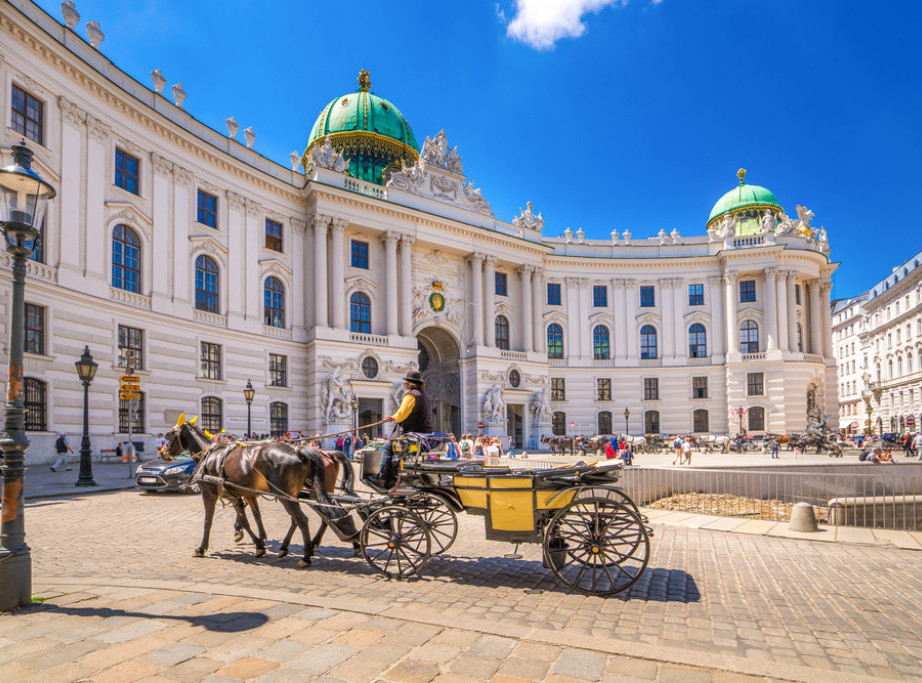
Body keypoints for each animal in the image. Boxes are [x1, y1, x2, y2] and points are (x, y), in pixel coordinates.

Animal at [162, 416, 356, 568]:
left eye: (170, 435)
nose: (163, 453)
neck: (211, 455)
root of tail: (299, 451)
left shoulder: (209, 492)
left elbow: (209, 521)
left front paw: (202, 547)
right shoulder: (242, 495)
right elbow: (252, 518)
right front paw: (259, 542)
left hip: (289, 494)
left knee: (303, 519)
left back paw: (307, 555)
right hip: (305, 493)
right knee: (323, 514)